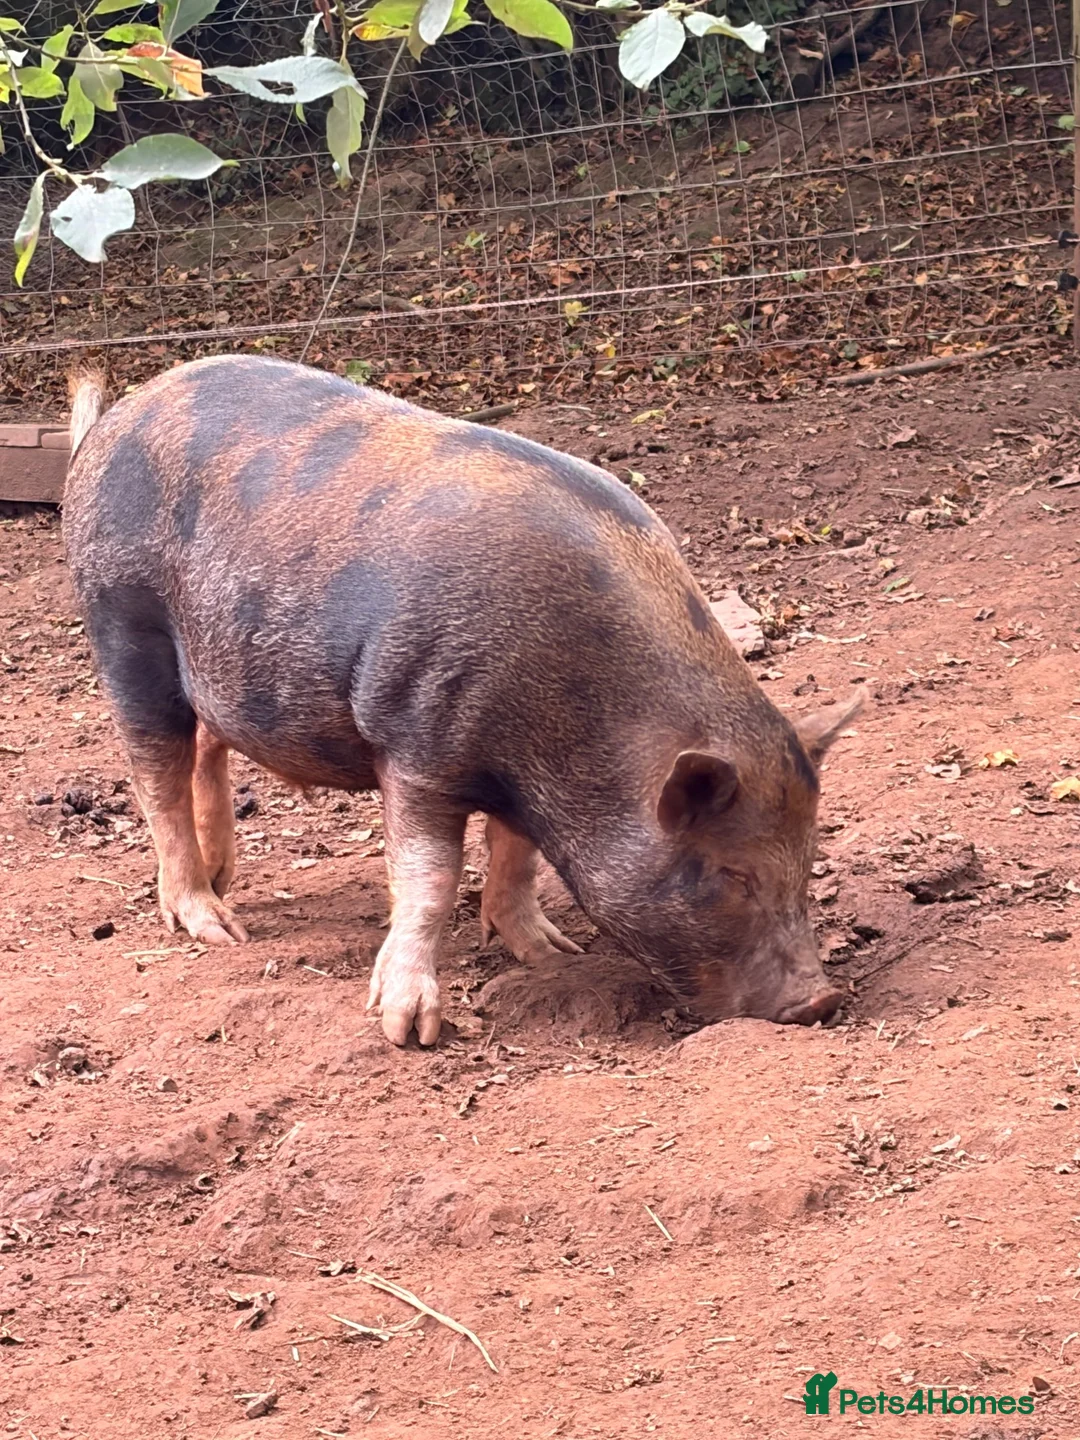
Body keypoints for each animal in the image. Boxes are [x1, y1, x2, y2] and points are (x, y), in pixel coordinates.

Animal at [63, 355, 860, 1046]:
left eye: (807, 856)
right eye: (732, 874)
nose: (821, 1000)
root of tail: (116, 419)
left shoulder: (524, 775)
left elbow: (517, 857)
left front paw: (555, 954)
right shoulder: (414, 742)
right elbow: (429, 879)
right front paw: (408, 1029)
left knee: (205, 745)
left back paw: (227, 883)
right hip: (121, 621)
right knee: (155, 772)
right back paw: (217, 925)